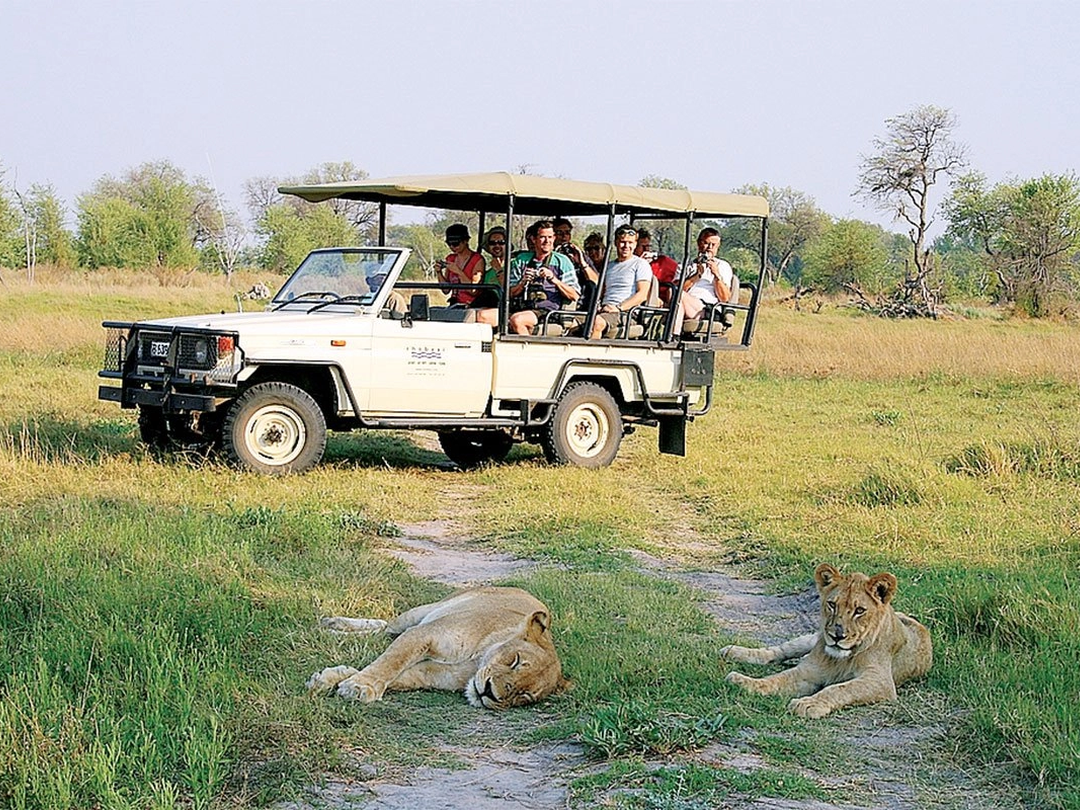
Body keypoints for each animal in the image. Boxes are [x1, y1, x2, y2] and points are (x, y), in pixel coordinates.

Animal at [307, 586, 569, 709]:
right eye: (514, 661)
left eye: (524, 696)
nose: (490, 693)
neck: (475, 662)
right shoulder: (425, 634)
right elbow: (391, 662)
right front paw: (359, 687)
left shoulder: (428, 674)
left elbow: (395, 676)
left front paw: (333, 679)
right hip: (420, 613)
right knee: (386, 626)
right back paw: (331, 626)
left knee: (385, 633)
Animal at [720, 563, 932, 718]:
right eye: (832, 604)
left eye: (859, 611)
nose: (837, 636)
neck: (842, 658)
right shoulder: (810, 669)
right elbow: (777, 678)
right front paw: (745, 682)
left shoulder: (880, 681)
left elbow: (840, 689)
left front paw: (808, 703)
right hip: (812, 638)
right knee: (778, 651)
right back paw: (732, 652)